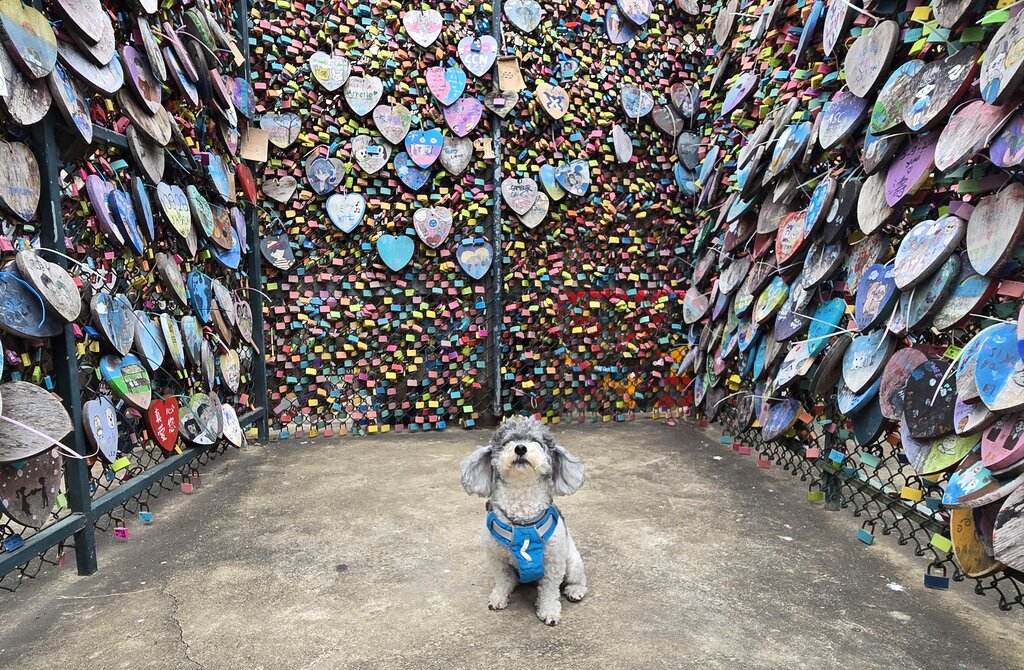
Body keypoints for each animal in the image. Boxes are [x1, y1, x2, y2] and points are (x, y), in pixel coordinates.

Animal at [460, 416, 587, 626]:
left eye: (536, 441)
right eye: (507, 442)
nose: (520, 448)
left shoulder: (553, 562)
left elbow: (550, 591)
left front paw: (549, 611)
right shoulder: (497, 559)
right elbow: (502, 580)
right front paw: (499, 597)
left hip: (573, 562)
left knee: (579, 579)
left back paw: (575, 590)